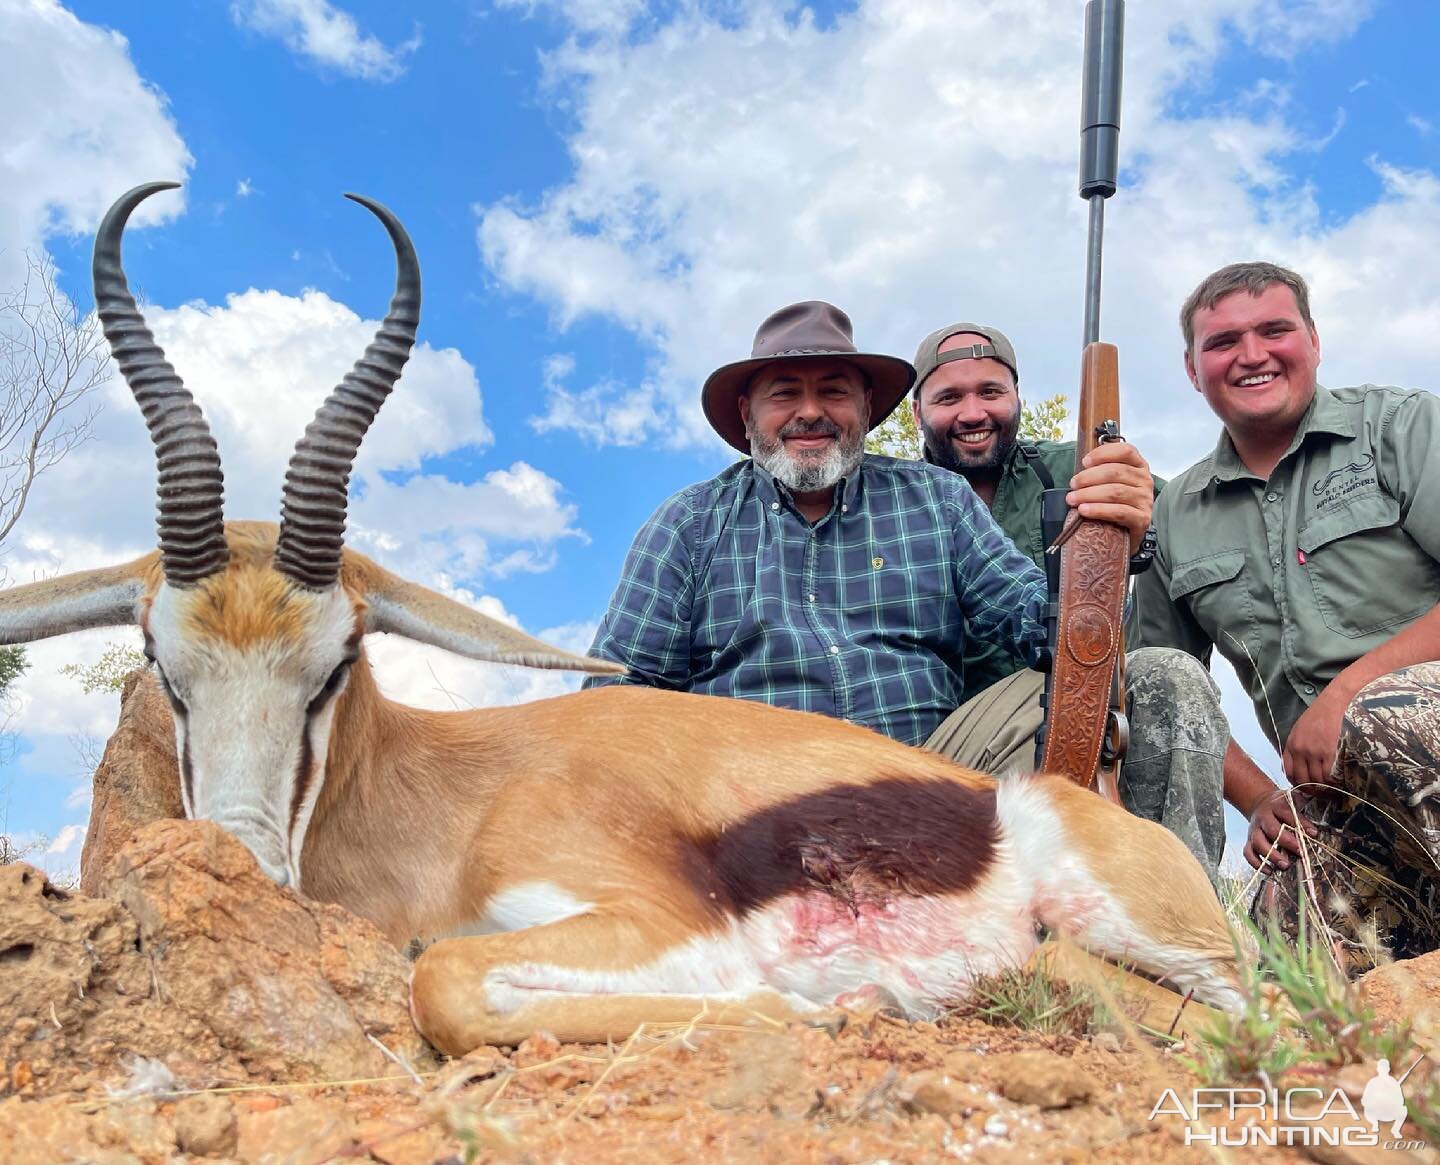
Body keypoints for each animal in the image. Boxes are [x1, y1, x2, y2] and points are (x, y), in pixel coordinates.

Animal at [0, 184, 1238, 1054]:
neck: (453, 798)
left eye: (336, 663)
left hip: (1170, 938)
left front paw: (821, 1010)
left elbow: (441, 976)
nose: (245, 861)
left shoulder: (656, 923)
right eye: (164, 666)